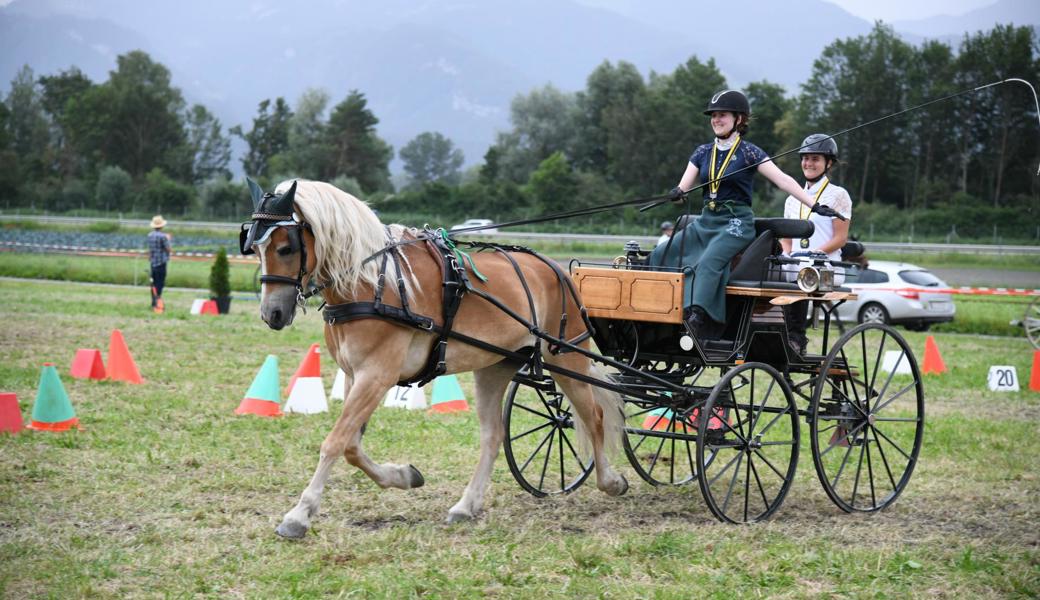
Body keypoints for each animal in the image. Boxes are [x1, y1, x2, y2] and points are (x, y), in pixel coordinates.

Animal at [243, 177, 624, 536]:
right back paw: (466, 506)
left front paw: (298, 515)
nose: (272, 314)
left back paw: (611, 481)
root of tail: (555, 269)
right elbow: (351, 445)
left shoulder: (376, 375)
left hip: (565, 356)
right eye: (254, 248)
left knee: (594, 417)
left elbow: (335, 442)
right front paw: (403, 476)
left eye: (286, 247)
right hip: (496, 367)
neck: (371, 283)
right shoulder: (354, 375)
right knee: (493, 436)